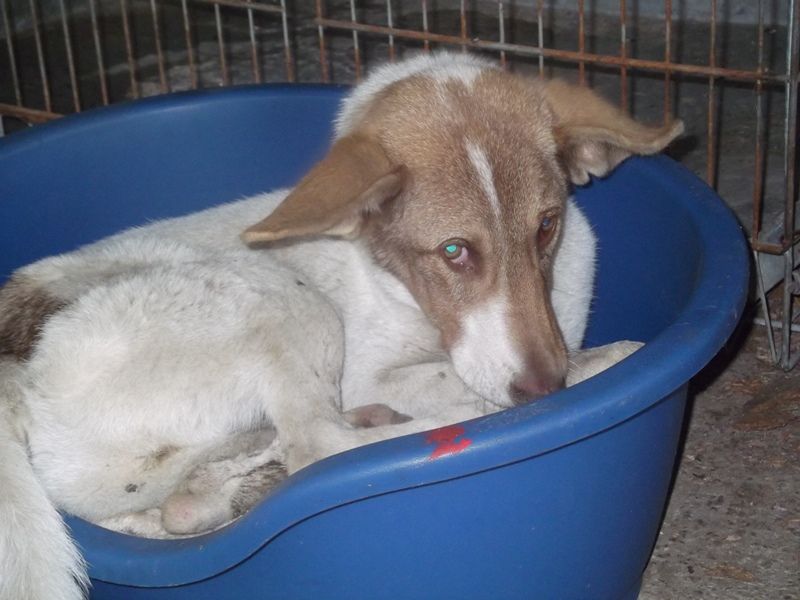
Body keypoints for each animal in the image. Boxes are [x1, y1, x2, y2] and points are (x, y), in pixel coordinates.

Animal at [0, 52, 682, 599]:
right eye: (454, 251)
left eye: (545, 226)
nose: (545, 387)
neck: (401, 291)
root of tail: (22, 389)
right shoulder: (371, 373)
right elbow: (456, 382)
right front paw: (589, 366)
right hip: (280, 299)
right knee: (317, 444)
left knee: (177, 505)